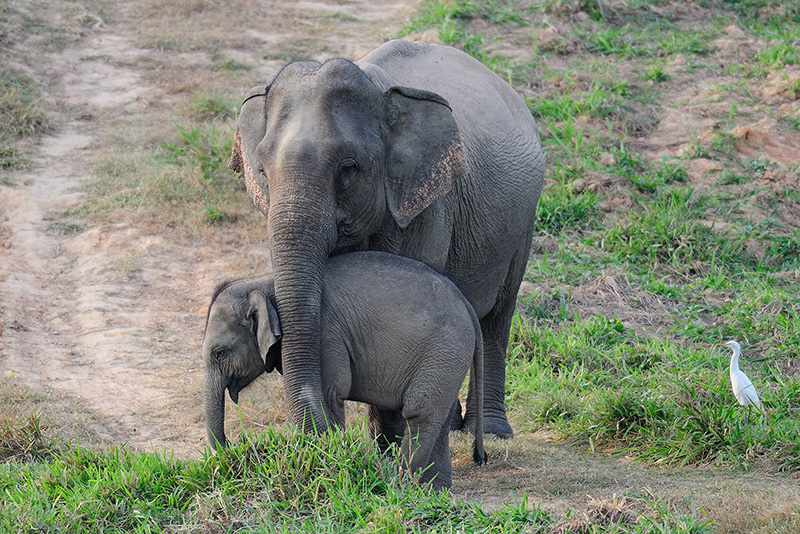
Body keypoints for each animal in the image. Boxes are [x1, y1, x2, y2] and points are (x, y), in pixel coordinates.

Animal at [203, 251, 484, 490]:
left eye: (220, 353)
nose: (238, 442)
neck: (265, 283)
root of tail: (469, 308)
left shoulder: (325, 336)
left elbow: (330, 395)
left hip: (444, 351)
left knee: (420, 414)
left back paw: (402, 486)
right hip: (448, 360)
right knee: (440, 417)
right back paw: (434, 491)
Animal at [230, 36, 544, 440]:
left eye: (348, 168)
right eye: (262, 170)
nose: (317, 434)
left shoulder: (430, 208)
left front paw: (389, 442)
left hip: (523, 222)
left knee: (497, 318)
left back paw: (488, 431)